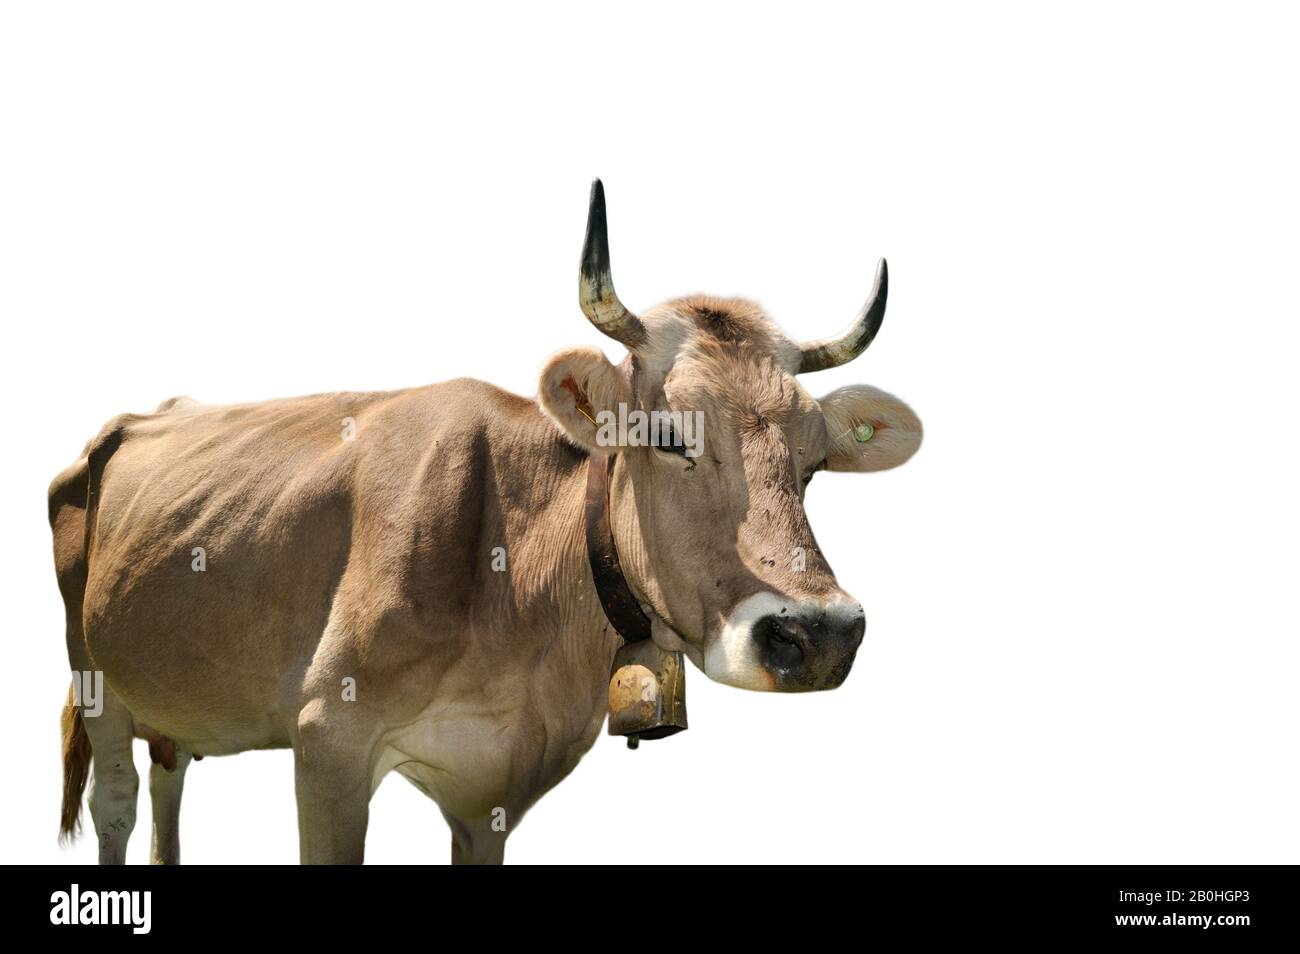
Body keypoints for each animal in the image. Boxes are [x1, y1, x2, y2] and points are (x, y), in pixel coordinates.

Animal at [51, 181, 923, 864]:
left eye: (813, 461)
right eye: (669, 434)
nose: (818, 634)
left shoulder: (491, 793)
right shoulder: (327, 741)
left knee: (168, 781)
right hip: (96, 678)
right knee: (116, 802)